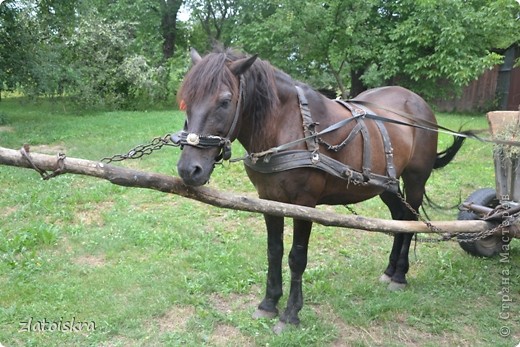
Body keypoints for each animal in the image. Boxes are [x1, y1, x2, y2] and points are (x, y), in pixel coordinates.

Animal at [174, 47, 464, 334]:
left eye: (224, 101)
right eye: (186, 100)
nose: (190, 169)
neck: (286, 126)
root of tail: (418, 103)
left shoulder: (304, 203)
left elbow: (297, 257)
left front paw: (290, 314)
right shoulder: (268, 200)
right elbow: (274, 251)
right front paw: (268, 304)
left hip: (415, 180)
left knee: (411, 221)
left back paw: (400, 274)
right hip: (385, 184)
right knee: (399, 219)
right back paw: (390, 270)